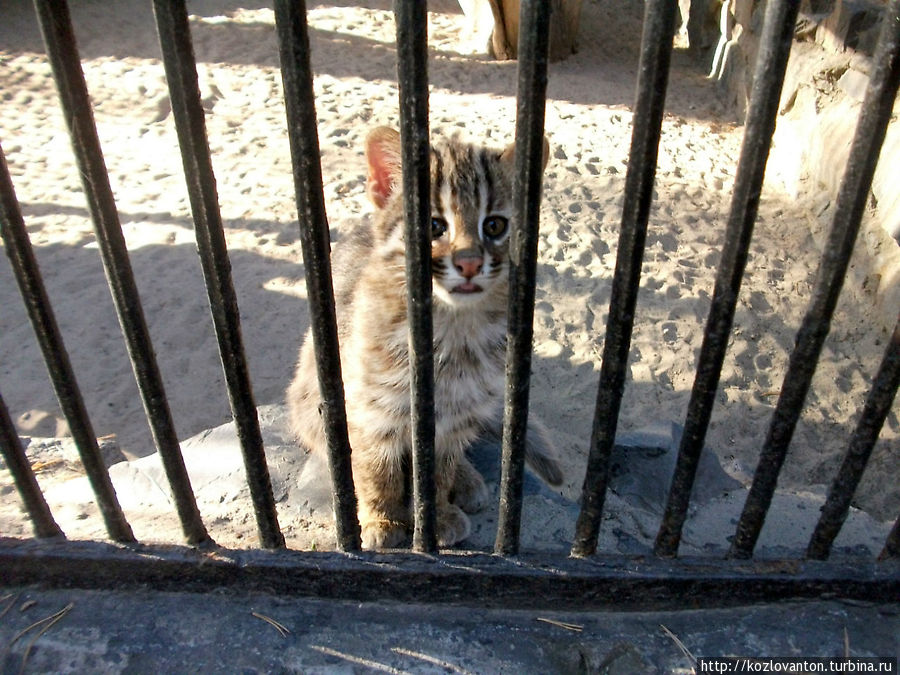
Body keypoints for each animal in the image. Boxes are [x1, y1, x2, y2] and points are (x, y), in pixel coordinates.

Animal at [284, 127, 560, 548]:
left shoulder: (455, 414)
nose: (469, 263)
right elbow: (376, 471)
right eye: (433, 226)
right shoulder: (370, 409)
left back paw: (466, 478)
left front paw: (438, 510)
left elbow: (438, 468)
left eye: (495, 226)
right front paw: (381, 519)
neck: (453, 326)